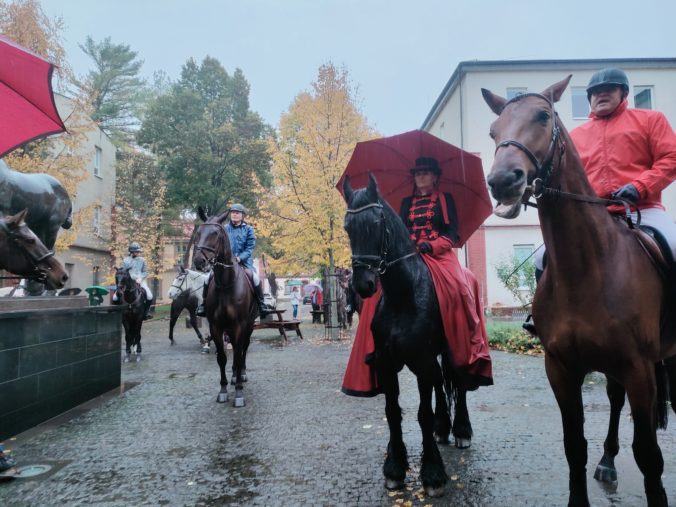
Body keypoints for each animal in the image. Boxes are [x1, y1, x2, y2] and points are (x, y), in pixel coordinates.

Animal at [191, 206, 258, 408]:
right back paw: (235, 376)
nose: (199, 261)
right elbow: (222, 358)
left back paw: (241, 375)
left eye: (215, 233)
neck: (226, 284)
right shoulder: (216, 327)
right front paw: (223, 390)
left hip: (249, 326)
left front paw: (239, 393)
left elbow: (238, 354)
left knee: (243, 349)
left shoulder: (240, 326)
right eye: (198, 233)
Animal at [344, 174, 476, 496]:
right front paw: (395, 467)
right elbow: (393, 411)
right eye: (348, 227)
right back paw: (443, 428)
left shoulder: (421, 361)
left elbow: (422, 415)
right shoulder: (386, 363)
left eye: (377, 223)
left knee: (459, 382)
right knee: (442, 384)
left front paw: (432, 474)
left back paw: (461, 431)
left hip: (453, 350)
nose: (363, 284)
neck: (404, 294)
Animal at [484, 76, 672, 507]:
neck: (587, 268)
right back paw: (608, 460)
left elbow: (649, 455)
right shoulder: (561, 368)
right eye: (493, 131)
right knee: (615, 400)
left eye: (543, 116)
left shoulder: (639, 369)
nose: (503, 182)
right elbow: (575, 446)